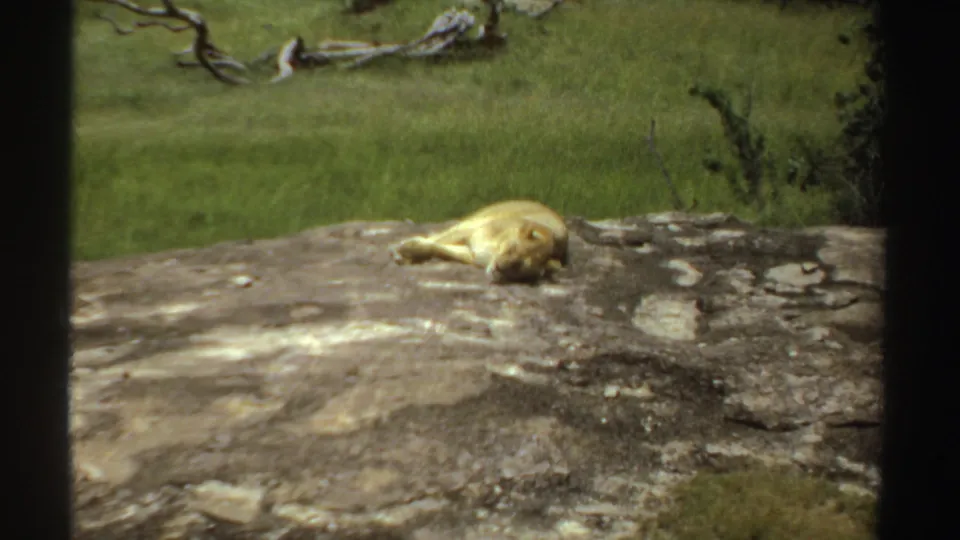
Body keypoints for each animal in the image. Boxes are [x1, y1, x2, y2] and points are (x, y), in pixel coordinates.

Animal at [389, 199, 569, 283]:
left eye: (519, 267)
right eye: (512, 249)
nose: (499, 268)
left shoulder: (471, 253)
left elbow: (438, 248)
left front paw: (406, 253)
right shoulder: (471, 230)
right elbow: (436, 241)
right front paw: (405, 250)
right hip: (474, 220)